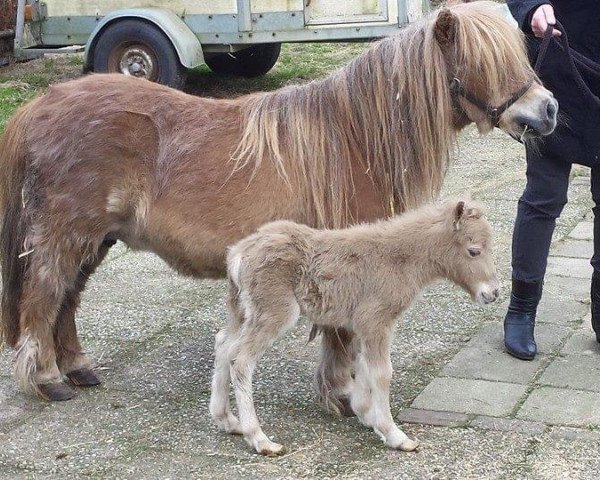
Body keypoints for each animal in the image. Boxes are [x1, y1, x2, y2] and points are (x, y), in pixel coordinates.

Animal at [0, 1, 556, 404]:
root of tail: (40, 105)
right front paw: (344, 396)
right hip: (65, 237)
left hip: (96, 240)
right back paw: (48, 379)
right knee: (43, 298)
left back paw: (77, 369)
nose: (548, 109)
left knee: (67, 300)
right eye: (484, 63)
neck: (353, 136)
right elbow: (342, 337)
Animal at [209, 198, 500, 454]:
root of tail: (238, 255)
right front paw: (394, 435)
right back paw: (260, 439)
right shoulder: (376, 319)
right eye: (474, 250)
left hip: (241, 309)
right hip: (274, 311)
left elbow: (361, 365)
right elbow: (381, 373)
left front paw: (367, 416)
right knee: (241, 361)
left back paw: (227, 420)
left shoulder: (361, 324)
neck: (399, 260)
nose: (494, 293)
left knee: (224, 343)